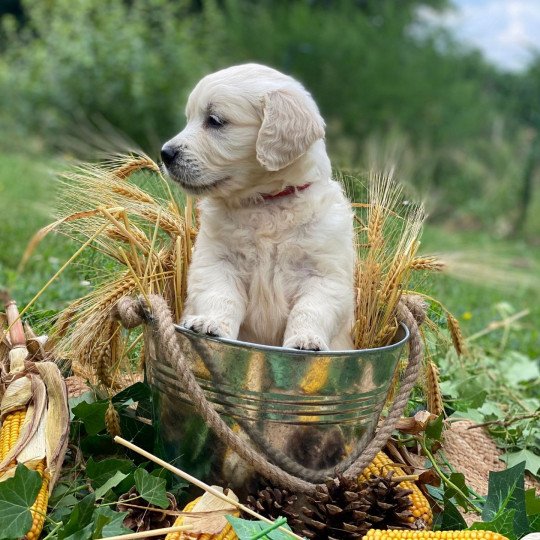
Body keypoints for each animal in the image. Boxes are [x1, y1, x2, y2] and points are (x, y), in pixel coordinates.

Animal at [160, 63, 354, 350]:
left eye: (214, 120)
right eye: (189, 119)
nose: (165, 153)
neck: (265, 203)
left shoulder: (325, 273)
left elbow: (311, 309)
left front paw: (305, 341)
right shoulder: (217, 261)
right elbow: (219, 296)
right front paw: (210, 324)